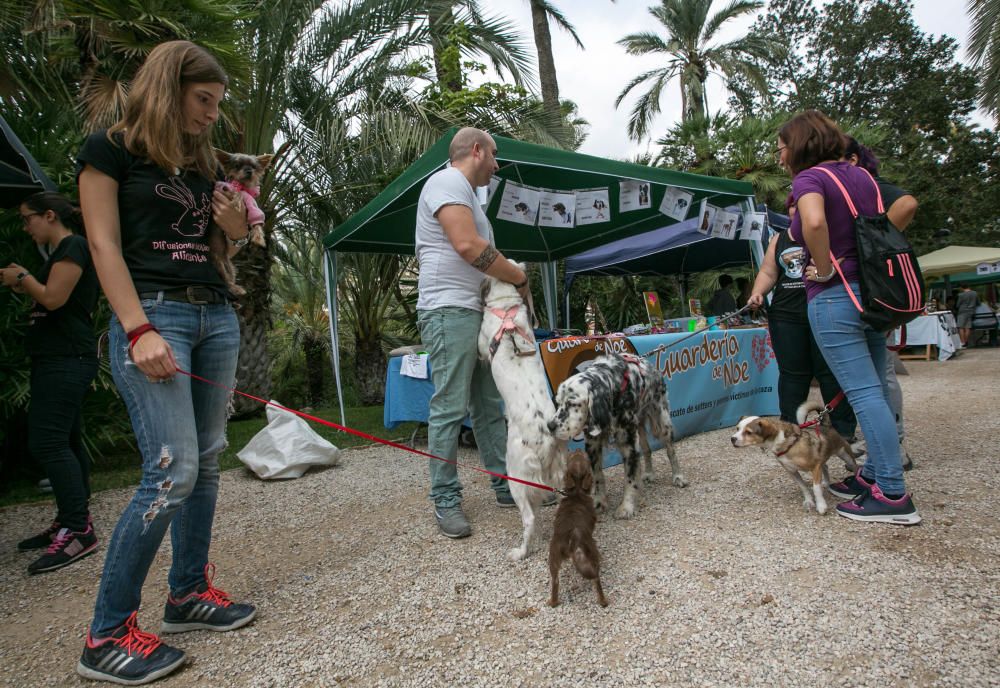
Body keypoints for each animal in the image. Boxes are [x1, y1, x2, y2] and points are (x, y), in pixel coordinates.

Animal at [480, 268, 568, 560]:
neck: (507, 313)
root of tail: (547, 436)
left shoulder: (482, 343)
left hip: (516, 475)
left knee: (529, 518)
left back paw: (520, 551)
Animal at [548, 352, 688, 520]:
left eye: (572, 403)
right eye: (558, 403)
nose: (550, 426)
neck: (613, 388)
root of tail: (652, 367)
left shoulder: (628, 441)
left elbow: (630, 477)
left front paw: (626, 506)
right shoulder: (593, 443)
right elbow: (598, 476)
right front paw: (599, 502)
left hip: (662, 422)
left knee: (670, 451)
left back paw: (678, 476)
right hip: (639, 427)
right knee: (647, 450)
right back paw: (648, 473)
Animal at [548, 452, 608, 608]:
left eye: (575, 455)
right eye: (585, 457)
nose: (578, 449)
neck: (577, 492)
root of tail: (572, 539)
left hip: (553, 557)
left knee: (555, 582)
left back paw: (553, 602)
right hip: (591, 554)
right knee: (596, 581)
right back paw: (603, 601)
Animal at [728, 398, 860, 516]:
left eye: (749, 432)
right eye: (737, 428)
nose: (732, 439)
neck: (787, 444)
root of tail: (826, 424)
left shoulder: (815, 467)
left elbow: (816, 488)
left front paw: (821, 505)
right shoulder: (792, 471)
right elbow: (804, 487)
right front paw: (809, 501)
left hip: (845, 455)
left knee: (854, 467)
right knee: (826, 467)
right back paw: (826, 482)